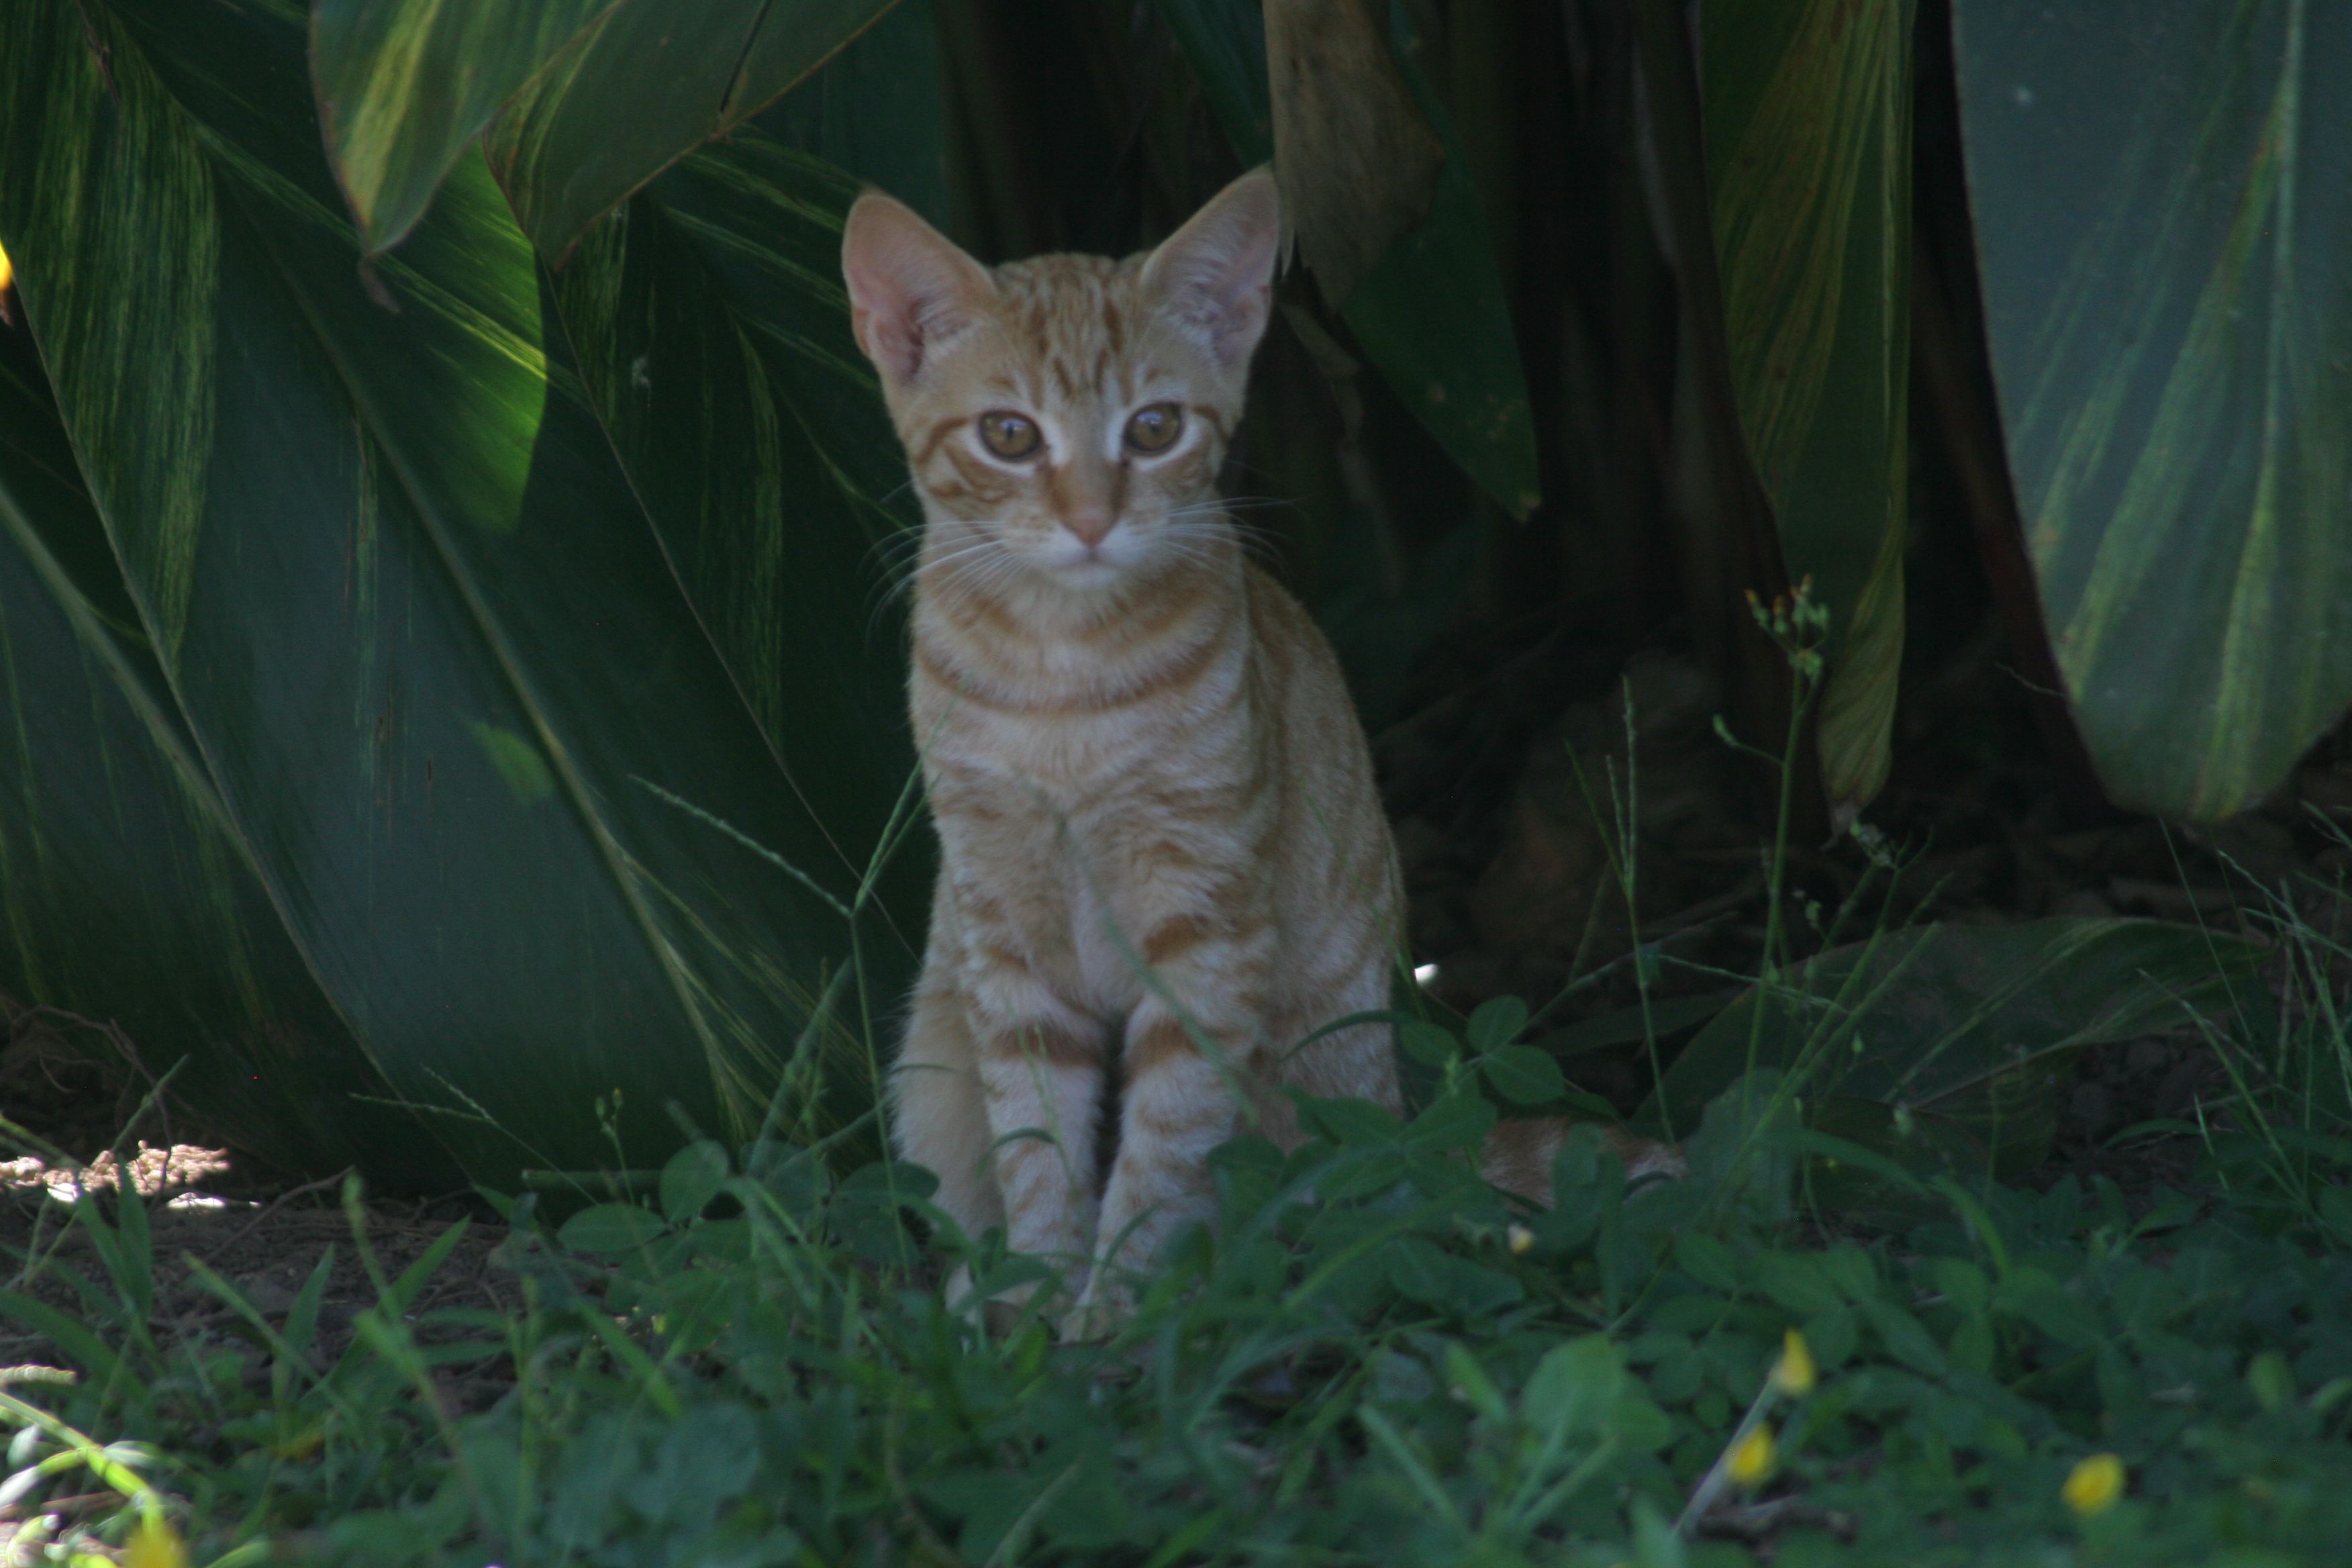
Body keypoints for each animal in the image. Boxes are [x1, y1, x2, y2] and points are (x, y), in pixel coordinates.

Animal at [846, 171, 1674, 1335]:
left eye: (1153, 428)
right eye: (1009, 435)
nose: (1092, 520)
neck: (1062, 673)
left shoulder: (1206, 922)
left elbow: (1161, 1142)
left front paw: (1108, 1317)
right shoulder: (1001, 924)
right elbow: (1038, 1139)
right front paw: (1036, 1305)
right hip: (932, 1045)